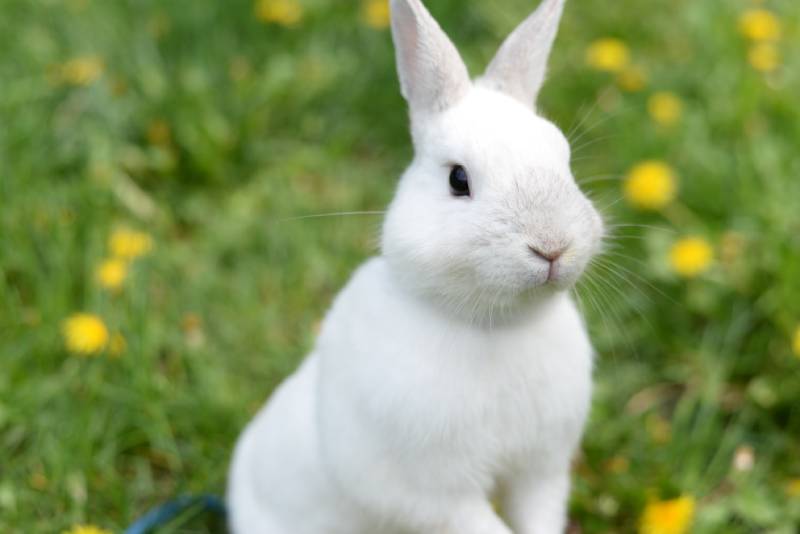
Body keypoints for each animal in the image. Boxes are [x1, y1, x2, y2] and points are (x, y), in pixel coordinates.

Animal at [227, 0, 605, 532]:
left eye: (565, 161)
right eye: (458, 179)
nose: (552, 246)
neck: (493, 326)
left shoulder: (540, 470)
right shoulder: (434, 494)